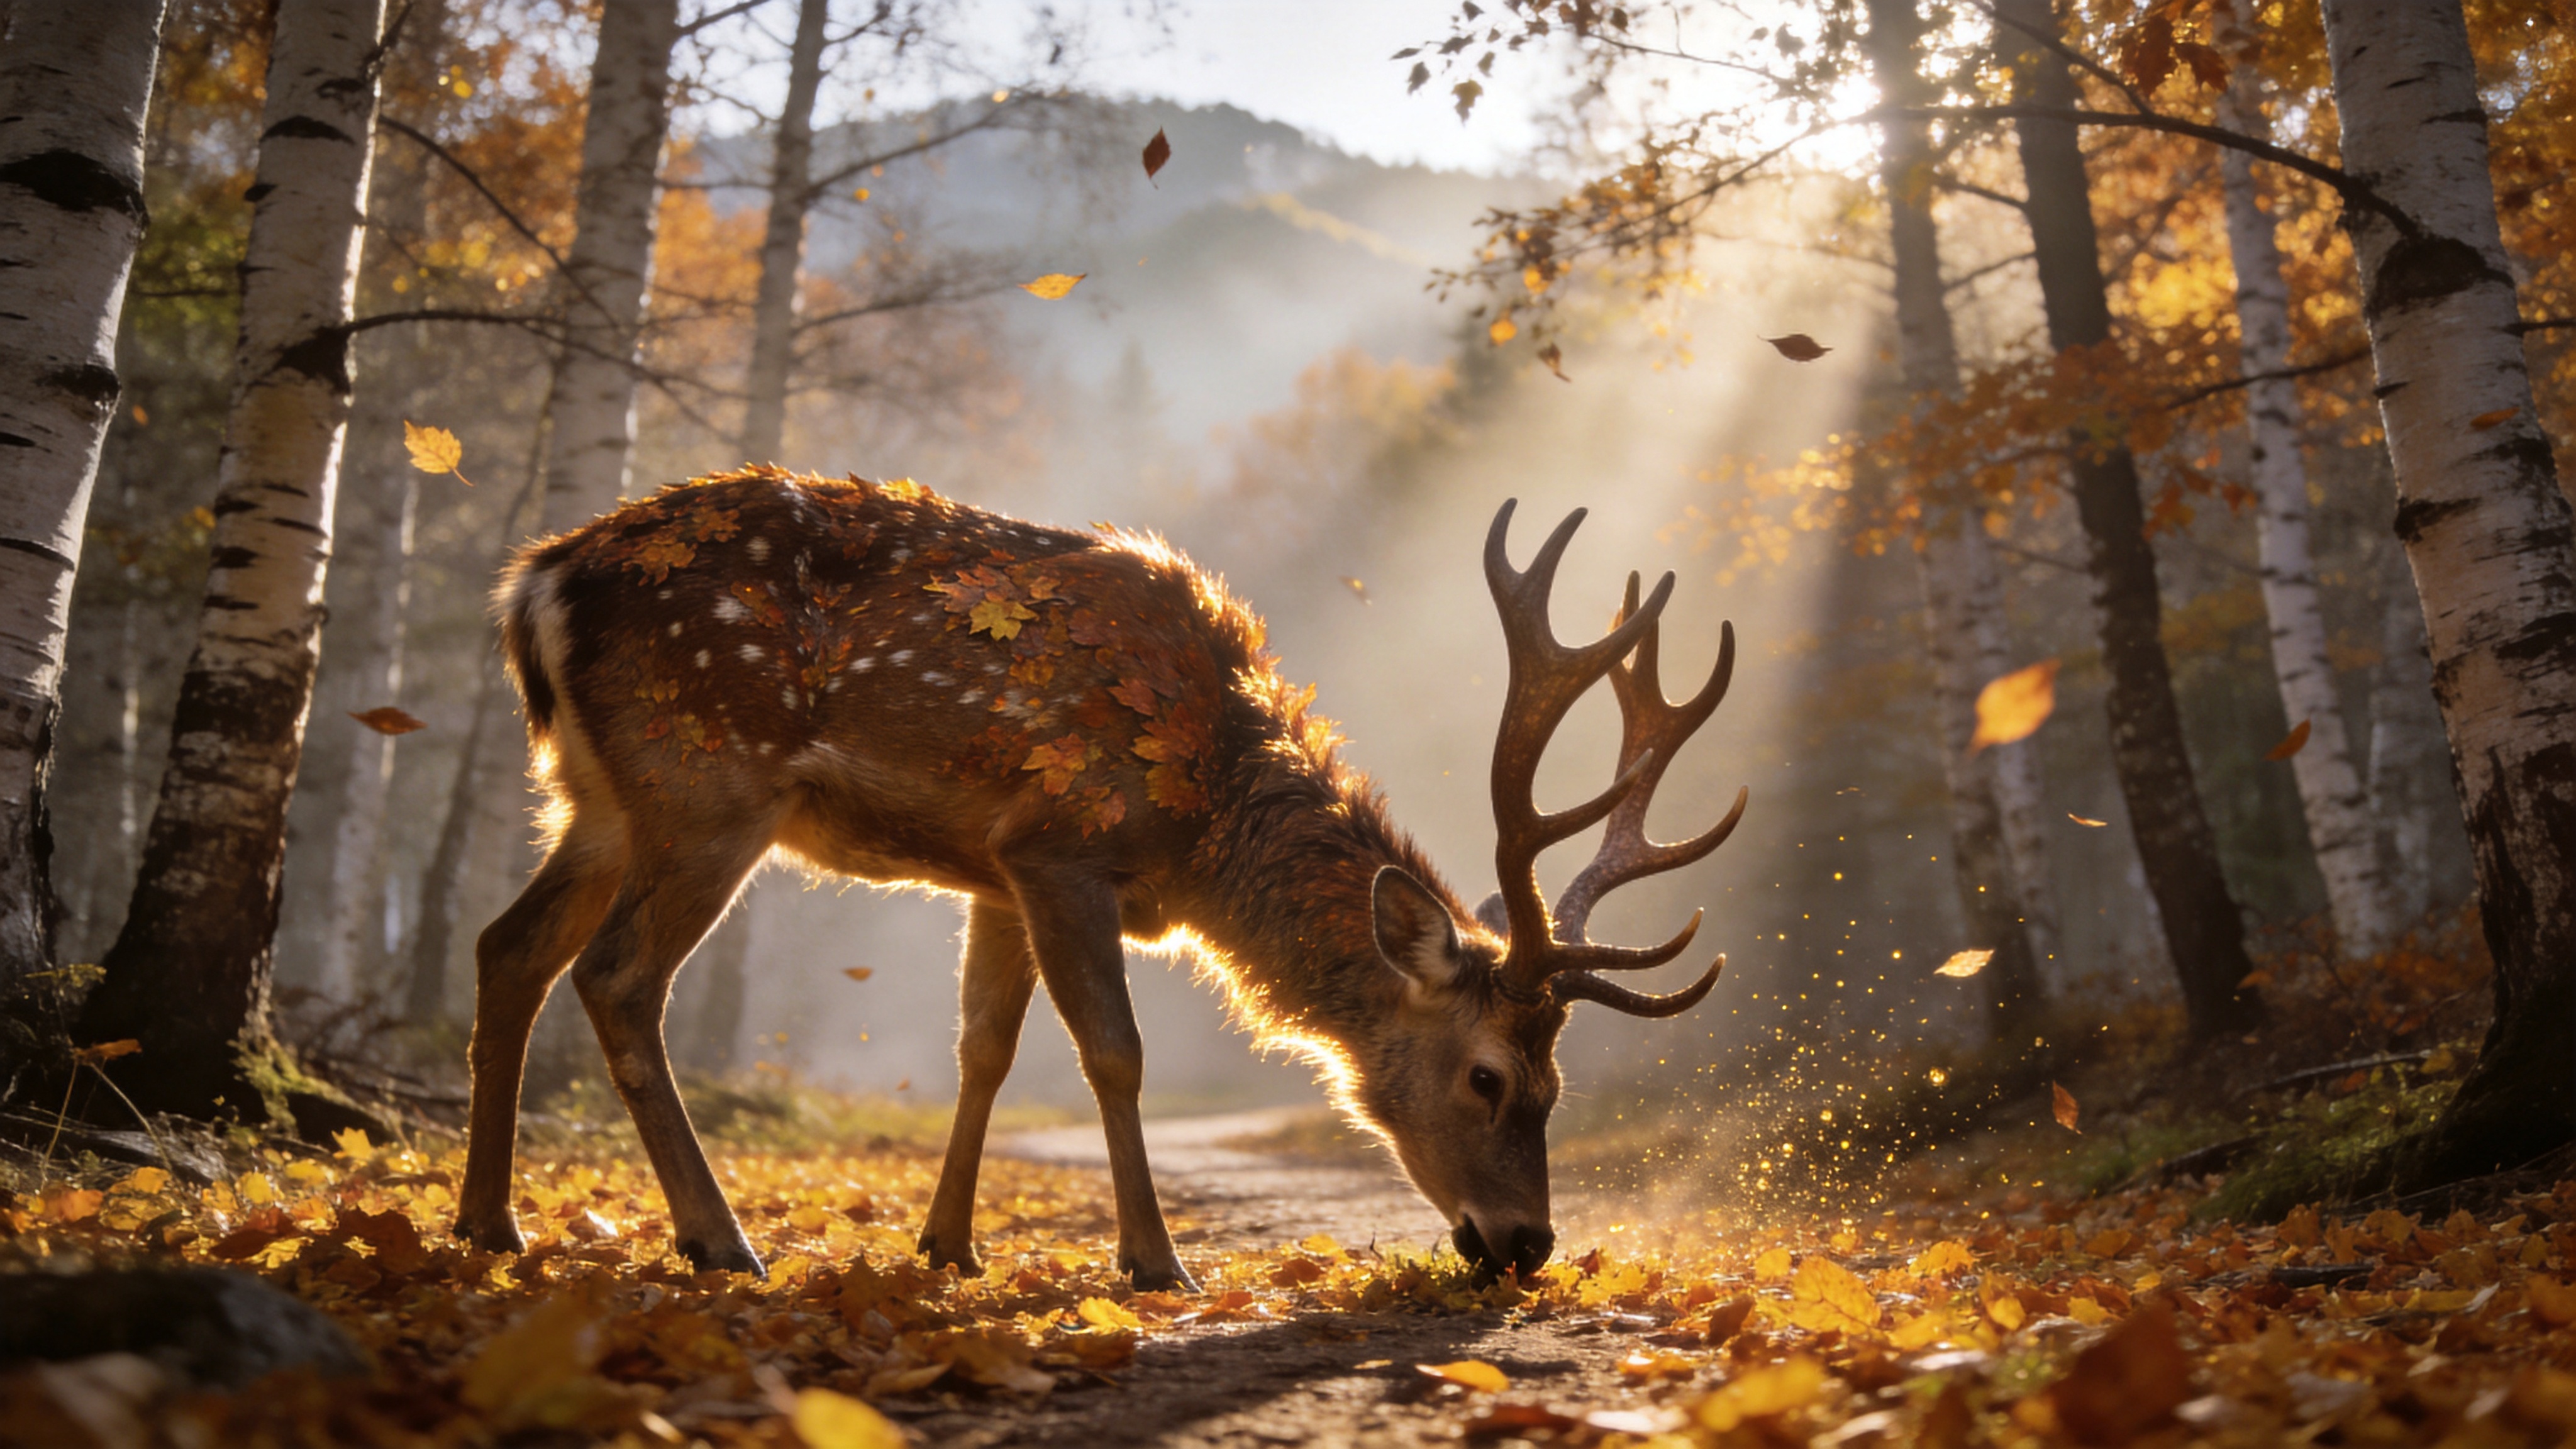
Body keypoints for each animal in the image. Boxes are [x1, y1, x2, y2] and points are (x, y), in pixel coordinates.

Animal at [456, 465, 1745, 1289]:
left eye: (1557, 1084)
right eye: (1488, 1077)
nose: (1526, 1243)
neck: (1209, 815)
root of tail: (533, 587)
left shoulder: (993, 871)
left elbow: (984, 1045)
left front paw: (948, 1244)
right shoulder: (1062, 844)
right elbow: (1111, 1051)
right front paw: (1155, 1259)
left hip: (600, 798)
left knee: (507, 944)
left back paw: (489, 1223)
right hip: (708, 777)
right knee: (618, 976)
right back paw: (718, 1239)